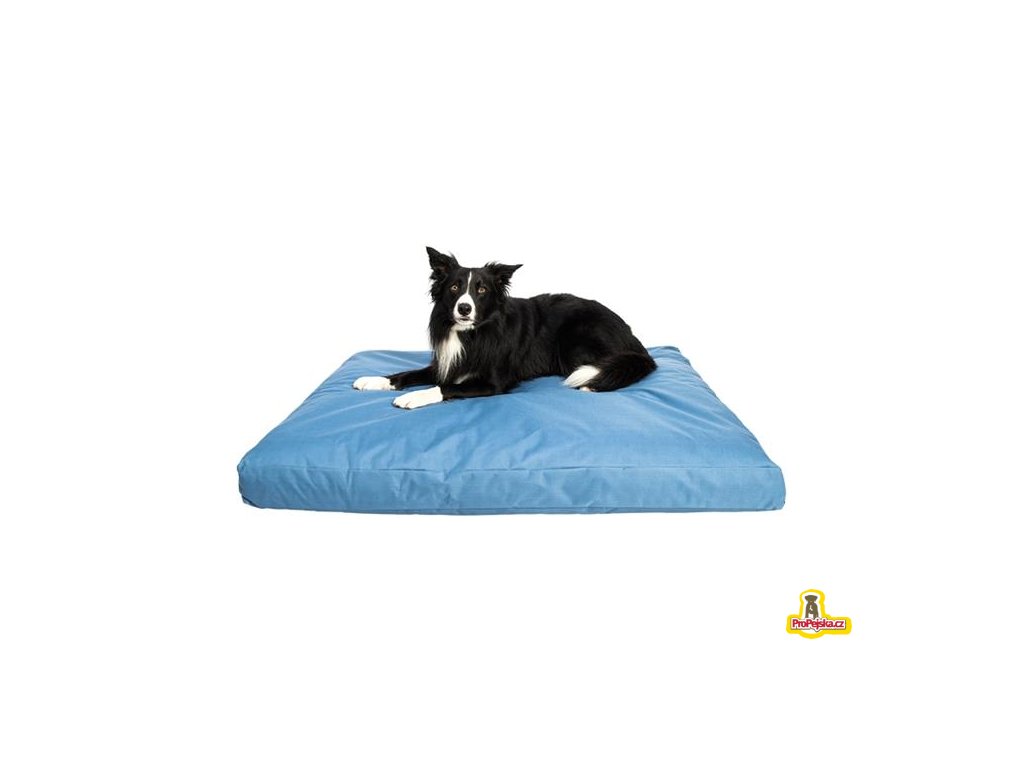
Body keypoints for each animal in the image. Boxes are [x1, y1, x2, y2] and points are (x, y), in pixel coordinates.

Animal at [353, 246, 656, 409]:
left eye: (482, 290)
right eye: (454, 288)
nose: (464, 309)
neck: (471, 334)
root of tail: (633, 338)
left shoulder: (494, 382)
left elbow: (445, 387)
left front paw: (415, 396)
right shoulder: (447, 363)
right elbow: (407, 373)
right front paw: (375, 380)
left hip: (576, 340)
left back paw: (592, 386)